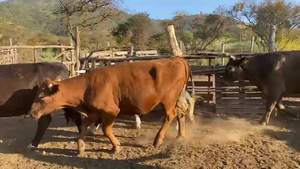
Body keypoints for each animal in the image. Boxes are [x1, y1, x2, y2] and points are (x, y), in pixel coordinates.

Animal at [29, 57, 195, 155]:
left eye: (42, 97)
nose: (31, 113)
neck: (87, 85)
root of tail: (176, 59)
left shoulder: (111, 112)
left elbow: (106, 130)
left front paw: (115, 147)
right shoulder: (94, 113)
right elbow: (83, 126)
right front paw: (80, 147)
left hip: (168, 101)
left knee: (170, 116)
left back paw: (158, 140)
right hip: (177, 99)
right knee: (181, 114)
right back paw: (180, 136)